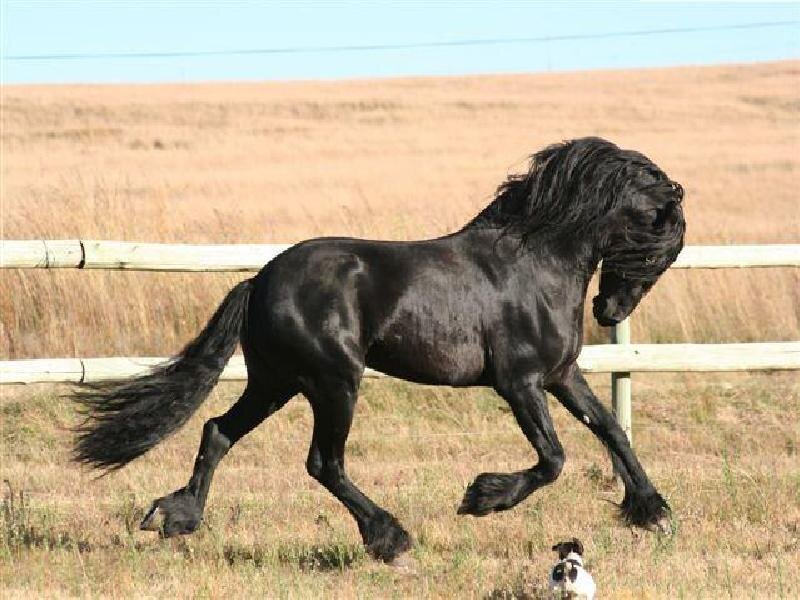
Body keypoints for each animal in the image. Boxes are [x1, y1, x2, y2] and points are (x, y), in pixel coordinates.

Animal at [74, 136, 686, 563]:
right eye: (659, 243)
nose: (611, 312)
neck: (536, 261)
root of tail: (262, 280)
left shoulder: (561, 374)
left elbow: (610, 429)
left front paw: (652, 512)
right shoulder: (519, 382)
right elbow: (553, 457)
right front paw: (481, 498)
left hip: (277, 382)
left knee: (218, 431)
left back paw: (173, 516)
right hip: (334, 383)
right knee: (323, 462)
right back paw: (389, 538)